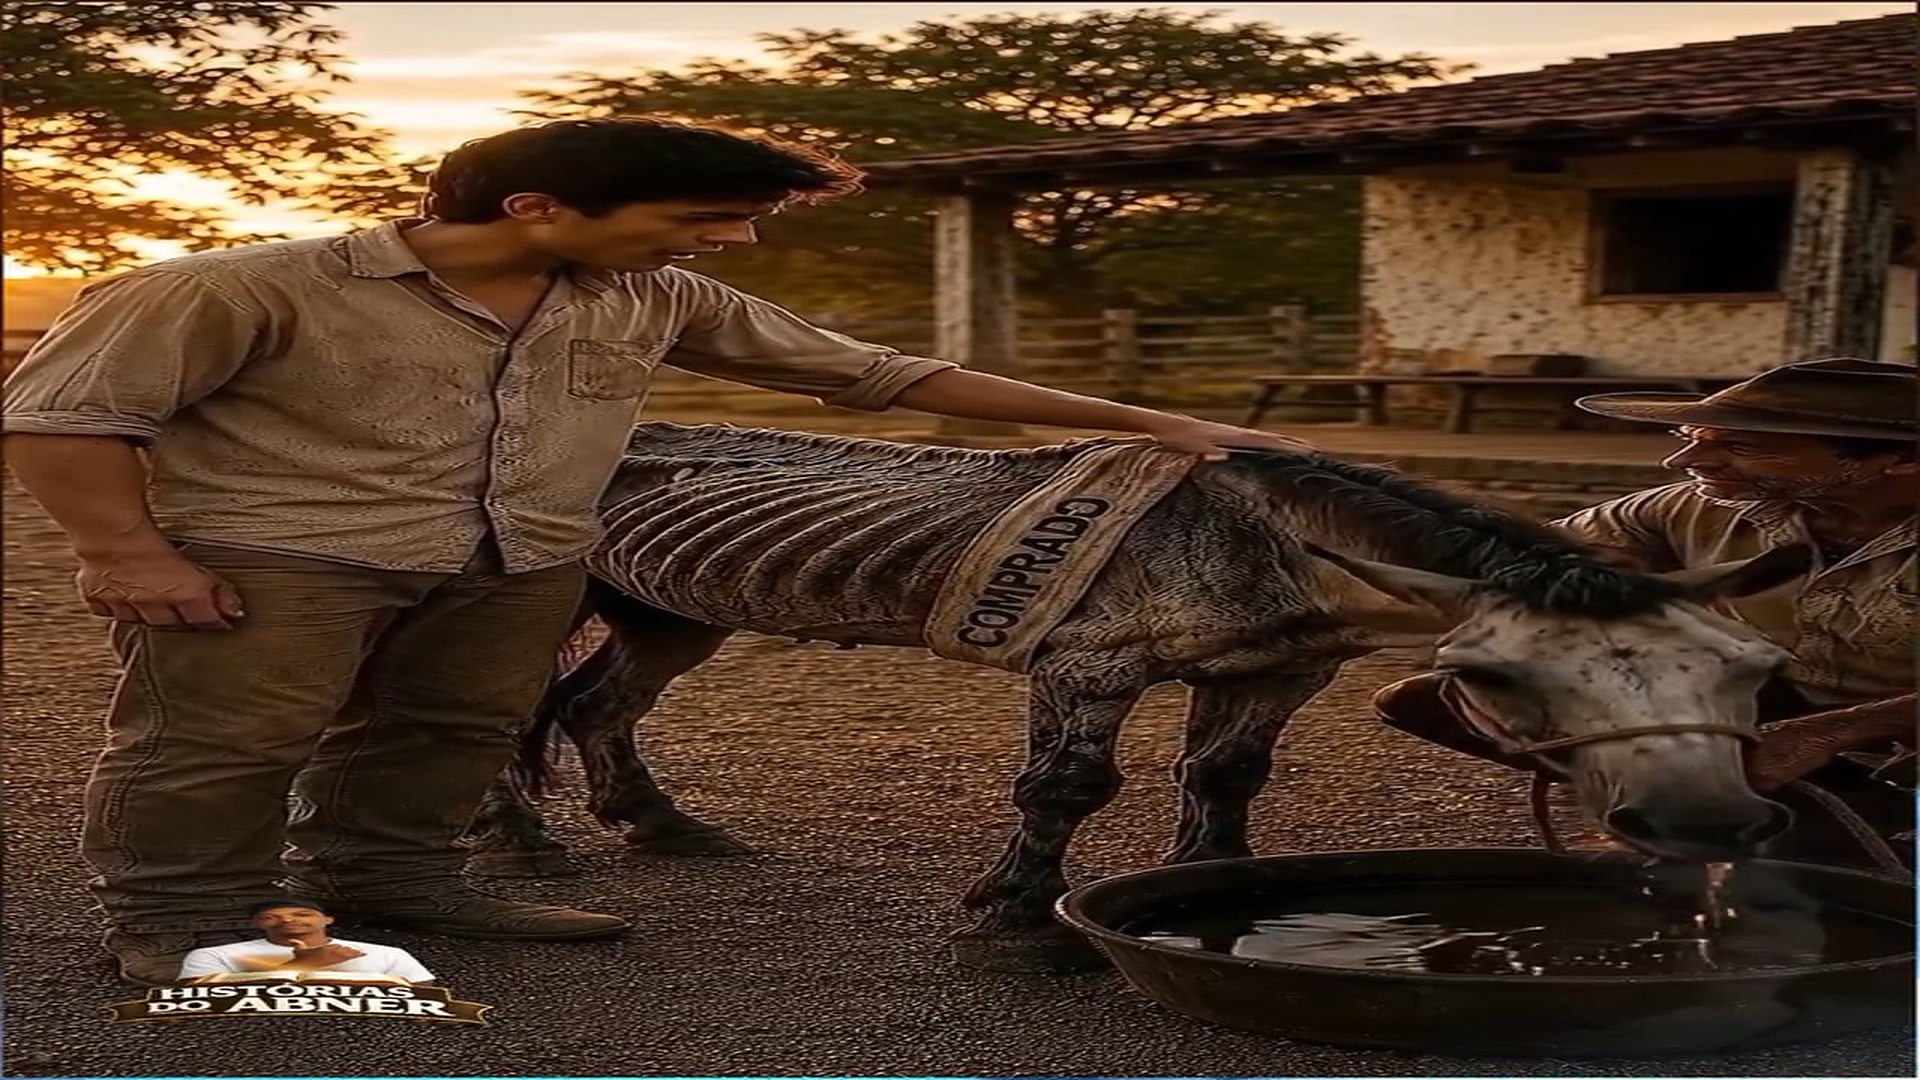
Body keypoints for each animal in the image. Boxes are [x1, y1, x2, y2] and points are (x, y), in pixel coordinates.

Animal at [464, 422, 1808, 971]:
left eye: (1746, 671)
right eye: (1493, 679)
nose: (1707, 828)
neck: (1265, 539)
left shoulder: (1277, 669)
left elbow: (1227, 776)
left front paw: (1216, 889)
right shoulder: (1087, 664)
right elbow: (1065, 787)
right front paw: (1013, 913)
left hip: (670, 611)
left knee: (600, 707)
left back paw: (661, 825)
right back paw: (519, 850)